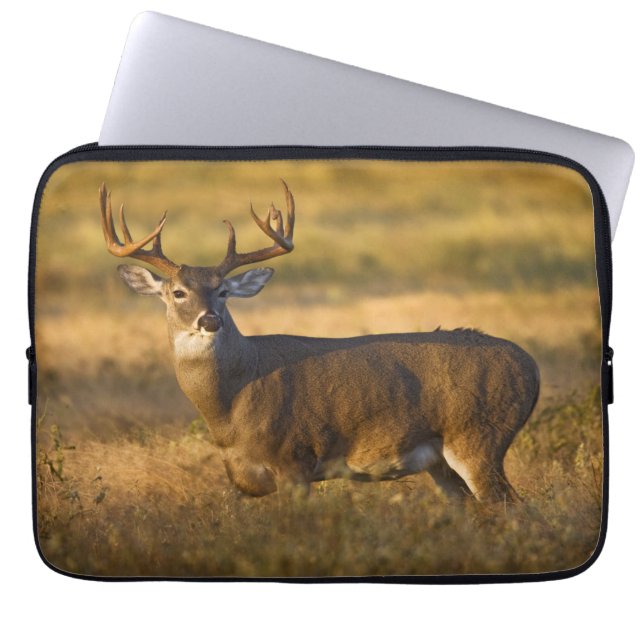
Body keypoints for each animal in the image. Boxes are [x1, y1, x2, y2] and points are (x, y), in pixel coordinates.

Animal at [99, 180, 540, 503]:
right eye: (178, 292)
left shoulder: (293, 458)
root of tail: (532, 368)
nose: (209, 320)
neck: (232, 404)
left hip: (479, 437)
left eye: (223, 291)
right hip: (441, 462)